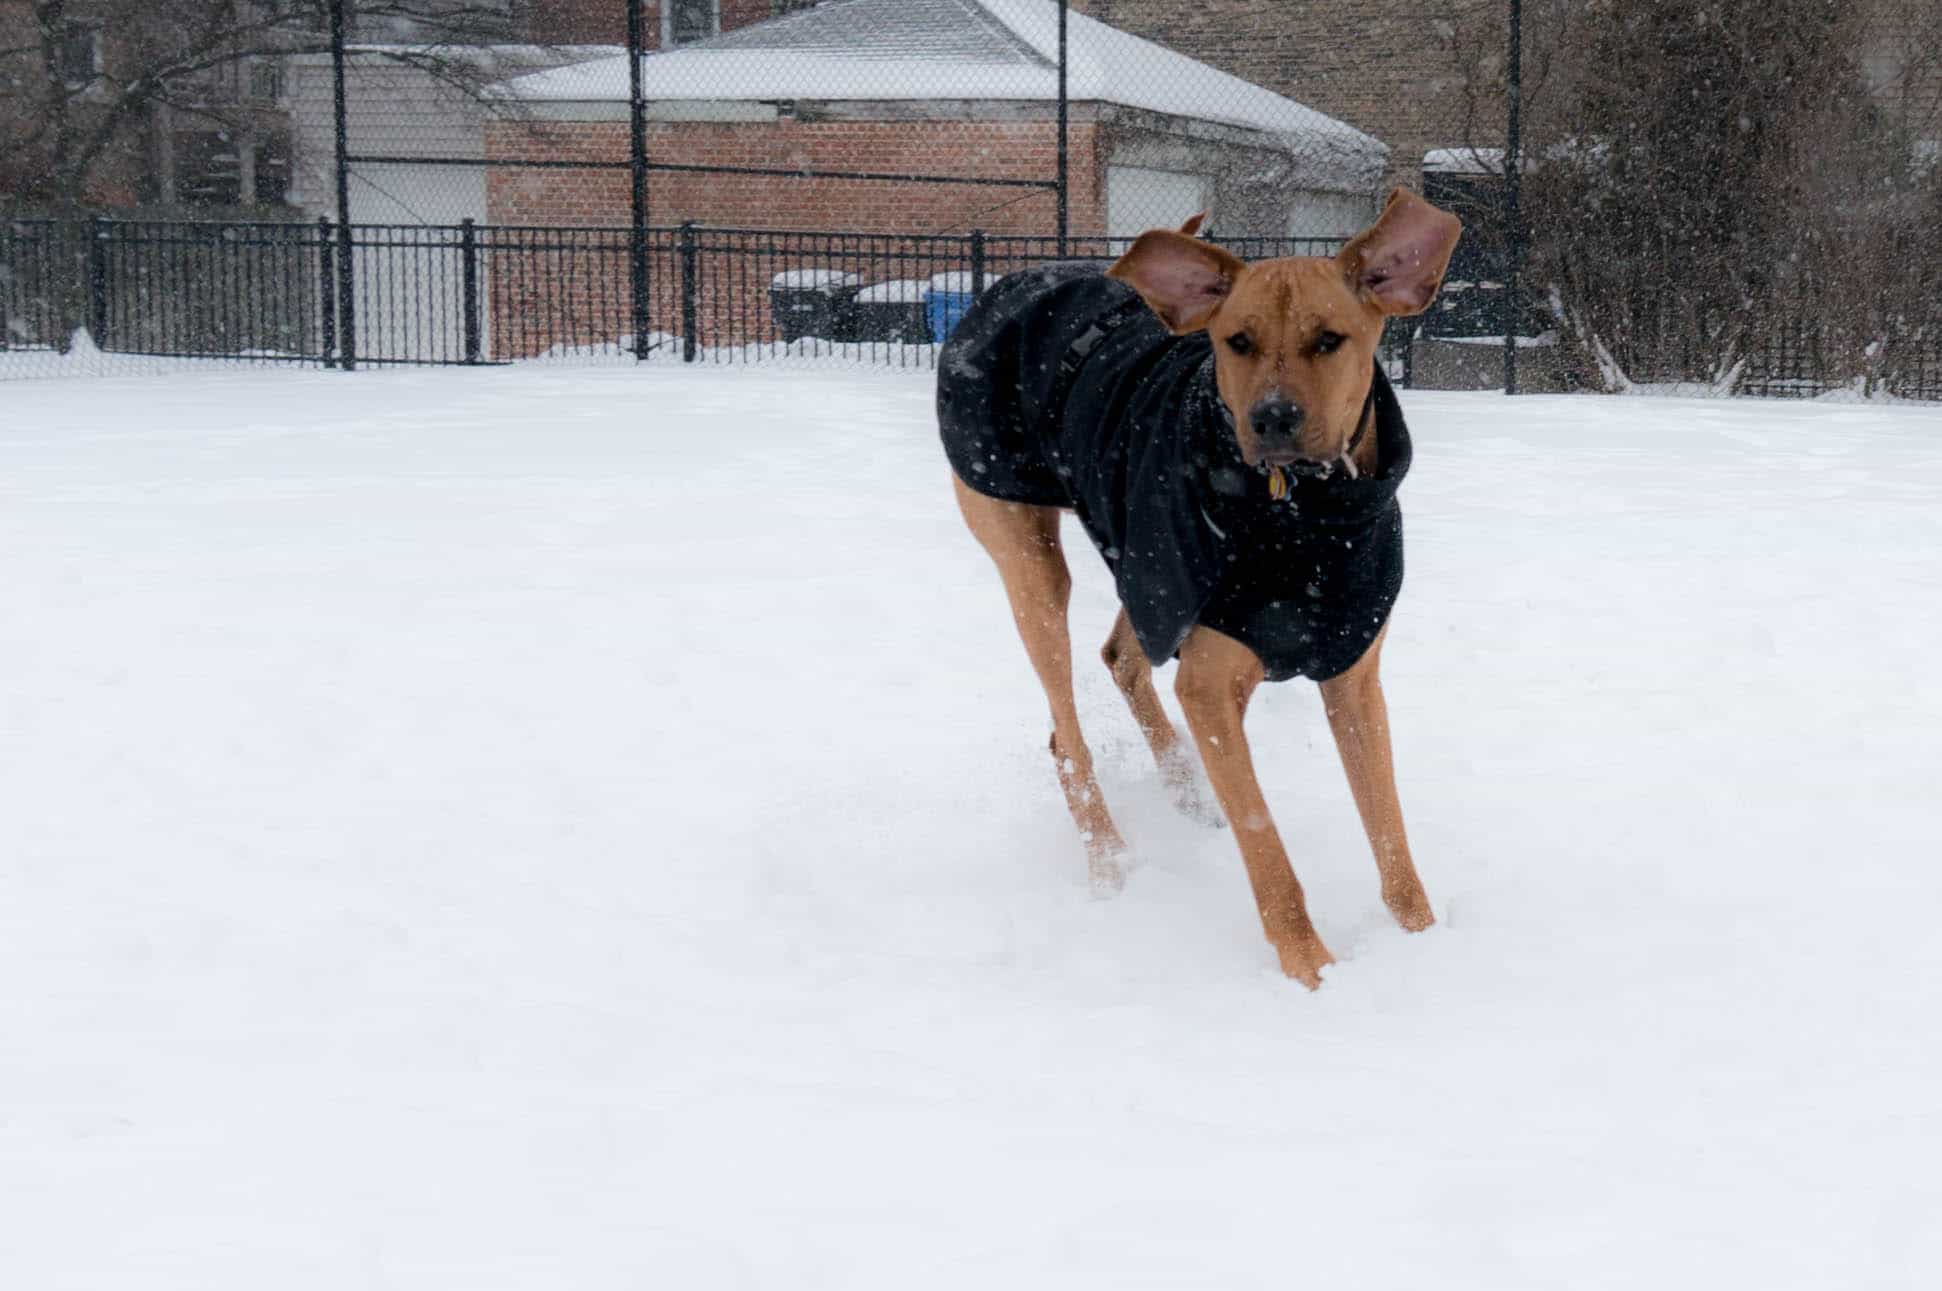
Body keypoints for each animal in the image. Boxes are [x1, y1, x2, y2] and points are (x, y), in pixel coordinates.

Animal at [936, 186, 1460, 982]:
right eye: (1236, 342)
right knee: (1067, 736)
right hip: (1031, 554)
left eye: (1329, 340)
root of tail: (1012, 283)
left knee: (1121, 656)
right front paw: (1312, 970)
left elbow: (1388, 826)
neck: (1307, 515)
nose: (1273, 417)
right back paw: (1111, 861)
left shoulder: (1353, 672)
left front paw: (1426, 944)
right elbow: (1266, 844)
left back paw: (1184, 786)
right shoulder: (1210, 685)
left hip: (1143, 560)